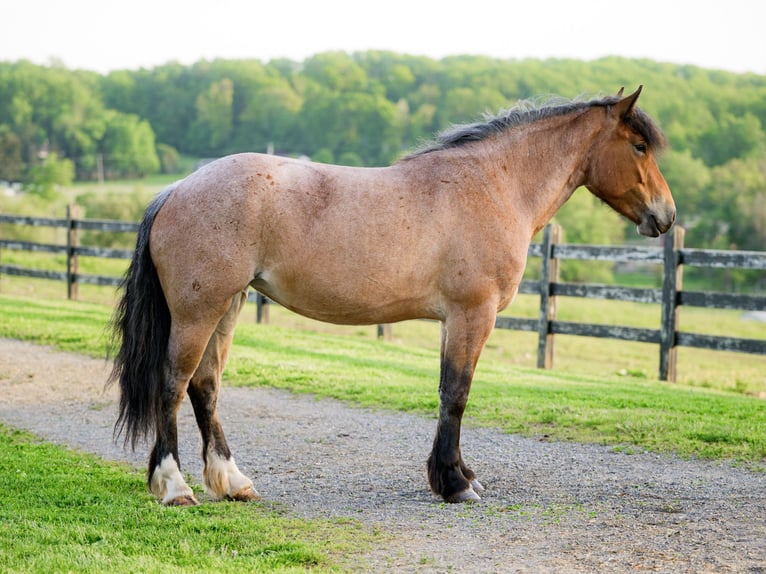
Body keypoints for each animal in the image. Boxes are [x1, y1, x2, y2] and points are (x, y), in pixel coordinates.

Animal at [110, 86, 675, 506]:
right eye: (639, 147)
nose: (665, 216)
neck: (493, 185)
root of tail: (177, 188)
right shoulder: (473, 314)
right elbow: (457, 394)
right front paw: (455, 484)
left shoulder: (454, 321)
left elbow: (449, 391)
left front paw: (458, 474)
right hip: (198, 311)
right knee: (173, 385)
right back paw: (174, 487)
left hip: (227, 307)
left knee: (205, 387)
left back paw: (232, 482)